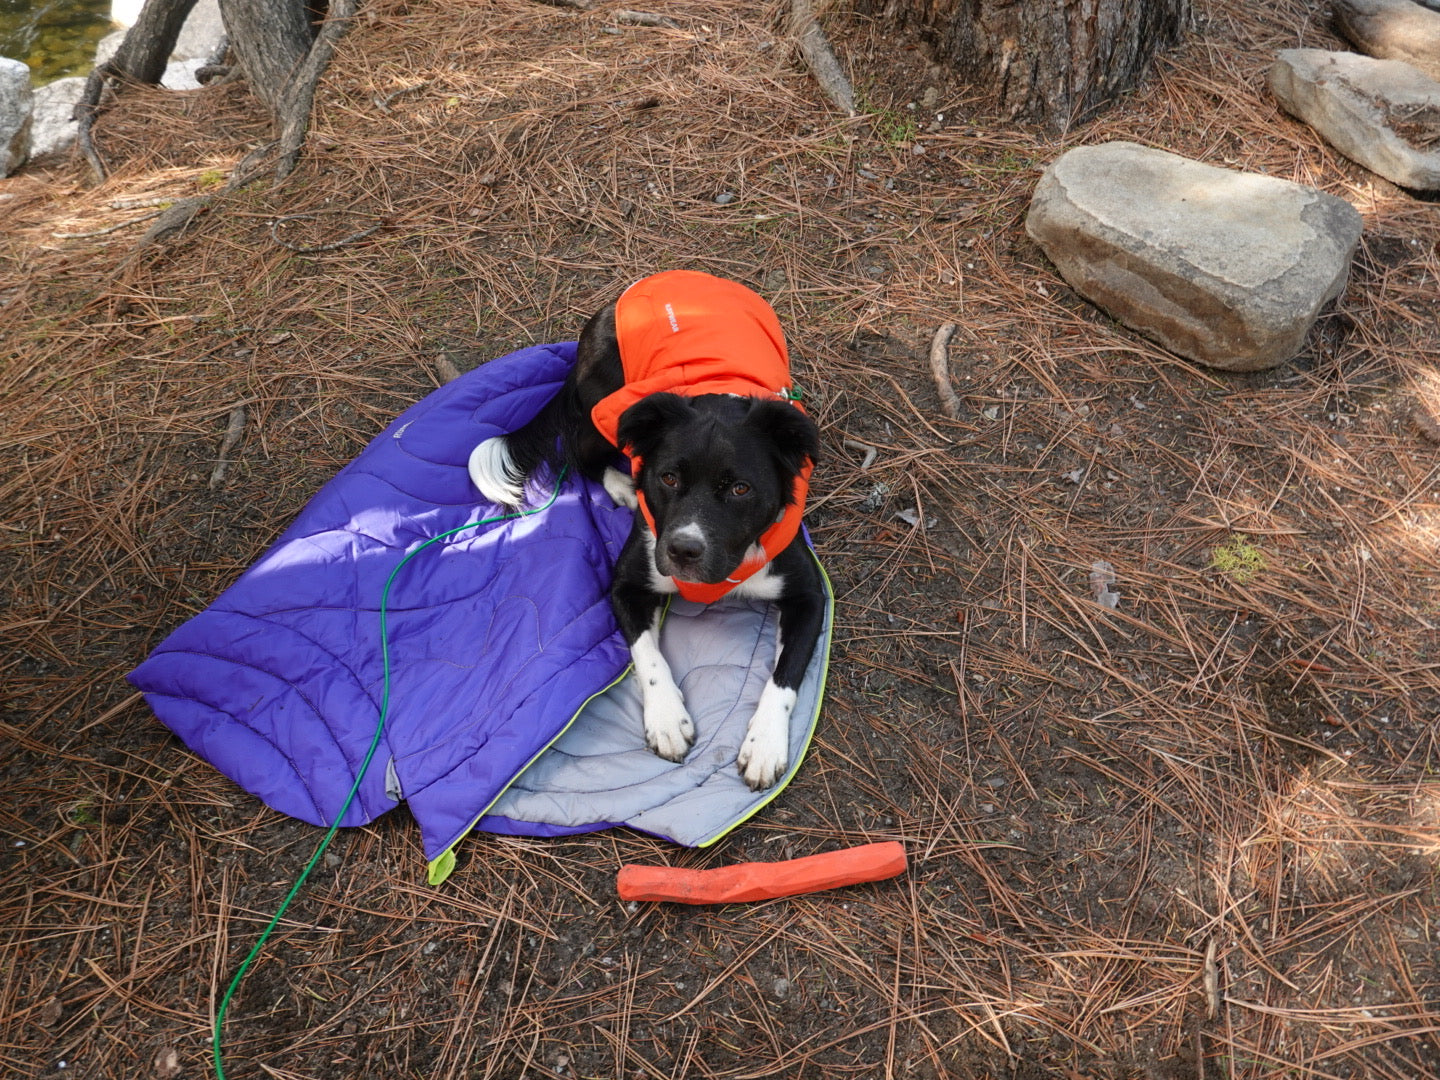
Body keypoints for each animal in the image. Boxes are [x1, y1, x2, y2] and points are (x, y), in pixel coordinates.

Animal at [469, 272, 823, 794]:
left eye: (740, 488)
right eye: (668, 478)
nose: (683, 550)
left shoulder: (808, 596)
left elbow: (785, 675)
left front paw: (764, 744)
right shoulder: (627, 584)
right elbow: (646, 653)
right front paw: (667, 719)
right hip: (605, 410)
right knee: (581, 452)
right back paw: (622, 486)